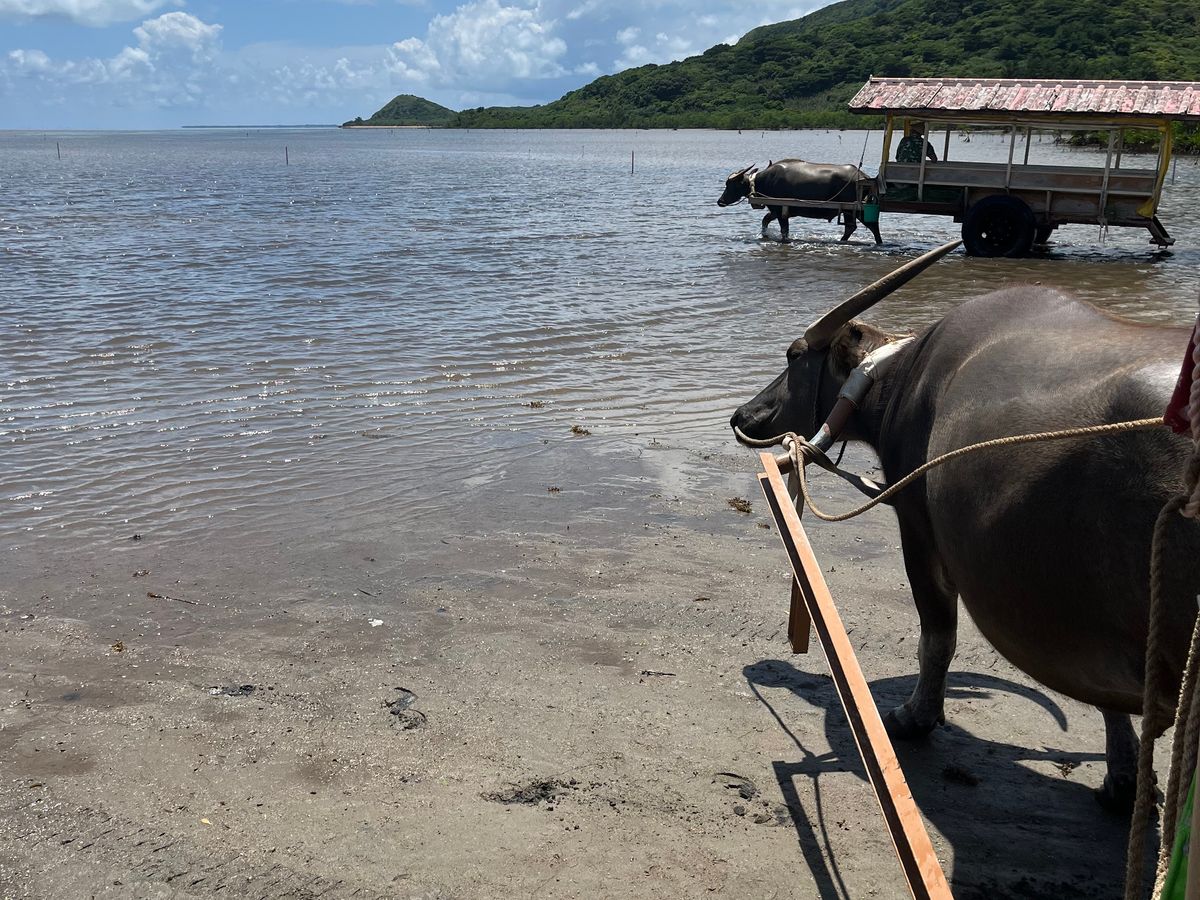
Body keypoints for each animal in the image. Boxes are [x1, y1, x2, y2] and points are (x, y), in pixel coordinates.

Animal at [718, 159, 883, 244]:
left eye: (730, 184)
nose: (720, 201)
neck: (762, 181)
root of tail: (863, 177)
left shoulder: (781, 211)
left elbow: (784, 230)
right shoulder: (775, 209)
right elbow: (765, 220)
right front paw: (764, 235)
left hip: (854, 209)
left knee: (866, 226)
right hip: (854, 211)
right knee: (858, 227)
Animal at [730, 243, 1199, 813]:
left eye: (794, 354)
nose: (743, 415)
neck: (903, 376)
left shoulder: (918, 529)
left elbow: (937, 634)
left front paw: (914, 717)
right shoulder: (1096, 619)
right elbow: (1110, 698)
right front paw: (1126, 778)